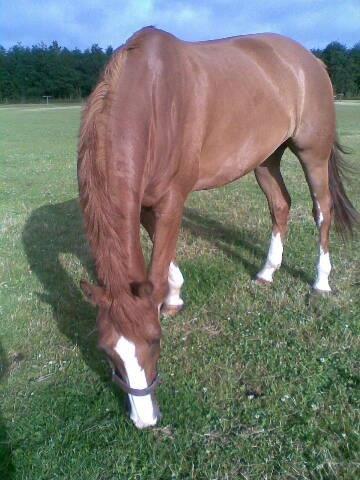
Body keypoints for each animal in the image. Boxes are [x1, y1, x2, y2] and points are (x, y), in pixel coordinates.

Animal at [77, 28, 358, 430]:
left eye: (155, 341)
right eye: (106, 350)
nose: (145, 420)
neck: (153, 97)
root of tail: (310, 60)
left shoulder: (172, 199)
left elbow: (159, 260)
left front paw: (170, 298)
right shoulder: (146, 203)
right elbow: (161, 260)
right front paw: (173, 296)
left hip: (312, 152)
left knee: (322, 210)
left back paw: (321, 280)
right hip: (265, 158)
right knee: (280, 205)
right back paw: (267, 272)